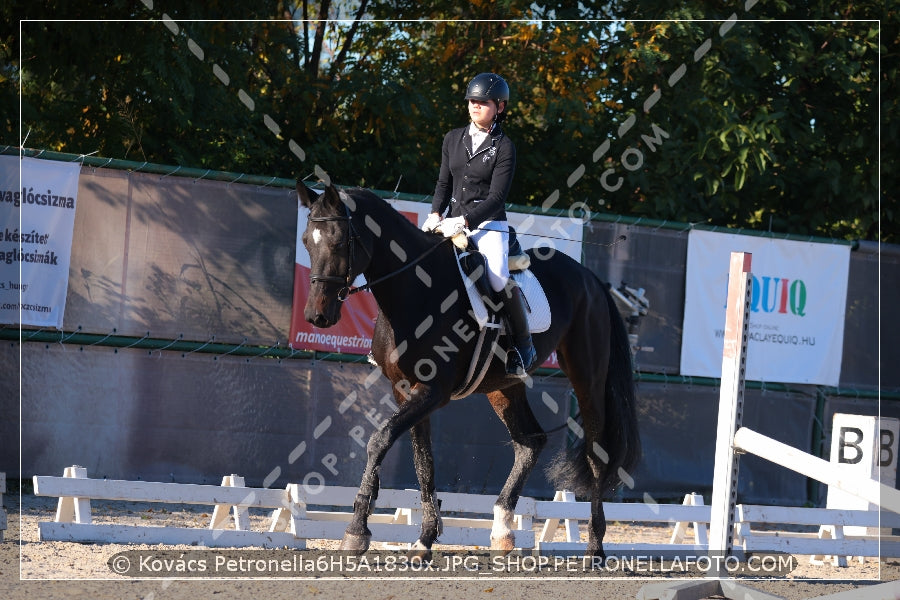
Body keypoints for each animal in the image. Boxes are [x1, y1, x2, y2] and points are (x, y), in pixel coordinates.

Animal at [298, 183, 640, 556]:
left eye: (338, 240)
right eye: (306, 242)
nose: (317, 316)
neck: (416, 289)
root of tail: (589, 278)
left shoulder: (433, 391)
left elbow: (379, 440)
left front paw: (356, 531)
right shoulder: (405, 389)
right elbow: (423, 462)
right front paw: (425, 539)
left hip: (587, 377)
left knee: (596, 453)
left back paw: (594, 548)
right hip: (503, 383)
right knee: (530, 441)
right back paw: (502, 531)